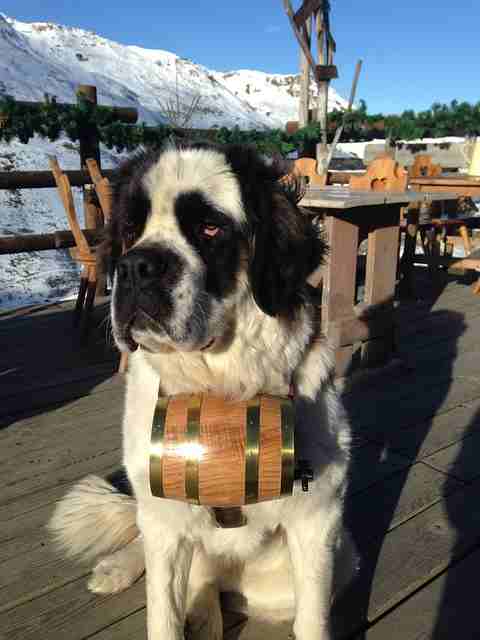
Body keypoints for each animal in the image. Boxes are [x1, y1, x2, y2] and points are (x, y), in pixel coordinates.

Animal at [50, 142, 354, 636]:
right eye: (130, 230)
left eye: (210, 227)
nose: (135, 266)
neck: (218, 384)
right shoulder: (165, 519)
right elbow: (162, 613)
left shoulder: (318, 520)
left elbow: (312, 617)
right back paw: (119, 568)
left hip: (327, 564)